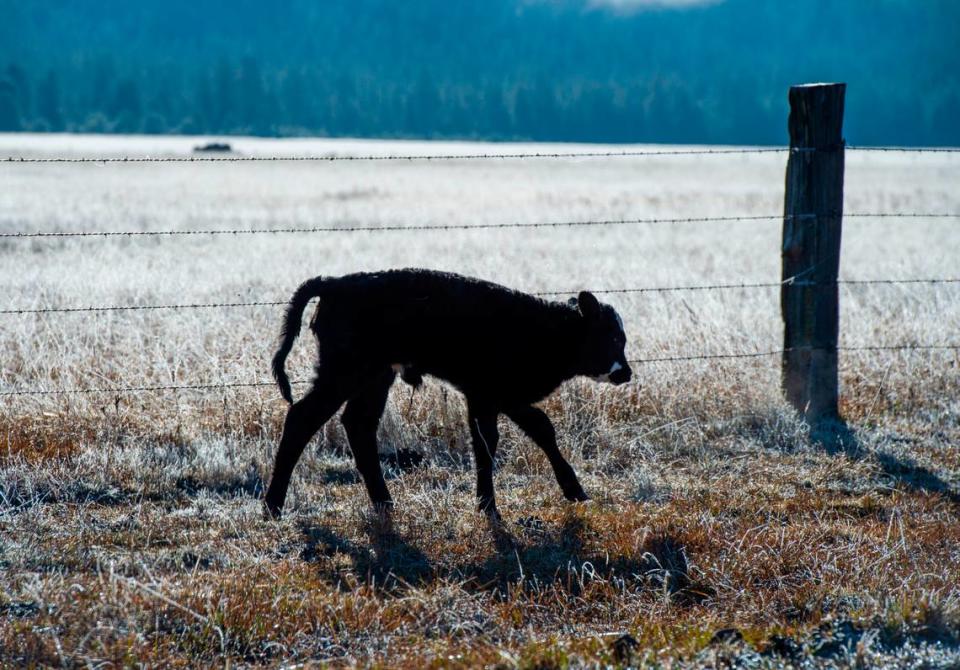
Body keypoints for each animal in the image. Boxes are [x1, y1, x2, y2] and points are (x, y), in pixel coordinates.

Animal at [266, 270, 632, 524]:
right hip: (343, 375)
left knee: (359, 425)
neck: (545, 328)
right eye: (612, 337)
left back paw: (385, 503)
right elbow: (514, 435)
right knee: (302, 418)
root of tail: (334, 283)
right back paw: (273, 505)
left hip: (374, 378)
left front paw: (493, 503)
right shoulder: (492, 395)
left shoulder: (489, 398)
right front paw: (499, 506)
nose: (625, 372)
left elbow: (508, 436)